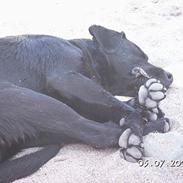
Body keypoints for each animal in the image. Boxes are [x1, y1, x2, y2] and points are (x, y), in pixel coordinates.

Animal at [0, 25, 173, 182]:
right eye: (142, 56)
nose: (170, 75)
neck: (82, 50)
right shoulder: (68, 79)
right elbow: (117, 104)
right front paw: (140, 116)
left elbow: (113, 104)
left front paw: (144, 104)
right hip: (29, 99)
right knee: (100, 135)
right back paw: (146, 130)